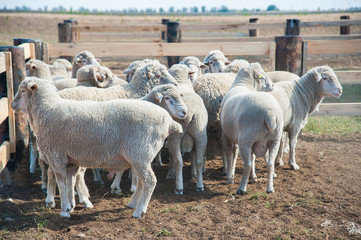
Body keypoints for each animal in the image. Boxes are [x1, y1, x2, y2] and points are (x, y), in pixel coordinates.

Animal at [11, 77, 183, 218]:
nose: (12, 104)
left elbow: (62, 184)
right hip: (141, 157)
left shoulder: (57, 157)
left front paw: (64, 210)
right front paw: (71, 206)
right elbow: (70, 182)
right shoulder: (70, 160)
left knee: (149, 181)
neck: (46, 109)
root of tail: (169, 120)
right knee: (142, 181)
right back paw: (133, 204)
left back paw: (139, 211)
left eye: (22, 91)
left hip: (141, 154)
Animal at [219, 65, 282, 193]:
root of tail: (270, 114)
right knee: (270, 163)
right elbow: (253, 157)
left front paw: (229, 177)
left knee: (247, 164)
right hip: (274, 139)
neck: (243, 84)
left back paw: (241, 188)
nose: (273, 86)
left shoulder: (226, 136)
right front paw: (253, 178)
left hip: (245, 139)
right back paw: (270, 188)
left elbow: (229, 155)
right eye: (263, 77)